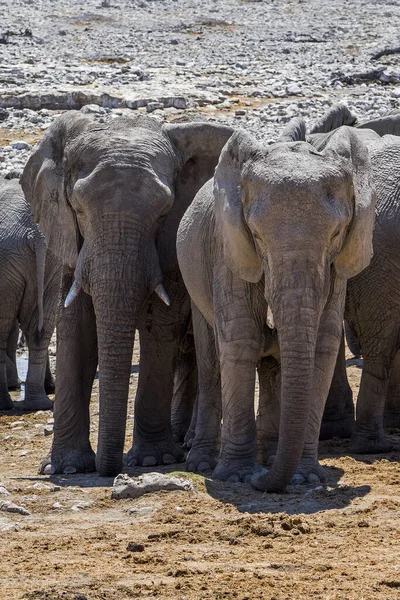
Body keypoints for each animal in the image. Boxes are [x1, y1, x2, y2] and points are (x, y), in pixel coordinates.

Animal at [0, 177, 61, 412]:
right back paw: (39, 403)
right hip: (47, 262)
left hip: (10, 262)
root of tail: (35, 235)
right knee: (39, 327)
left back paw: (5, 403)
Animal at [21, 111, 234, 478]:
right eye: (78, 208)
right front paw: (66, 468)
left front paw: (152, 460)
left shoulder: (169, 248)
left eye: (164, 211)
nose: (108, 471)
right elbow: (76, 327)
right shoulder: (71, 241)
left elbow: (159, 326)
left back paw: (186, 442)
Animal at [177, 112, 376, 492]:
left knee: (271, 369)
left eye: (336, 233)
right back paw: (204, 462)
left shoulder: (338, 266)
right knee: (211, 360)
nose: (262, 483)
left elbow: (323, 345)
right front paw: (237, 476)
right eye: (256, 234)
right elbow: (240, 339)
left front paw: (305, 475)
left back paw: (269, 458)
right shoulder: (228, 248)